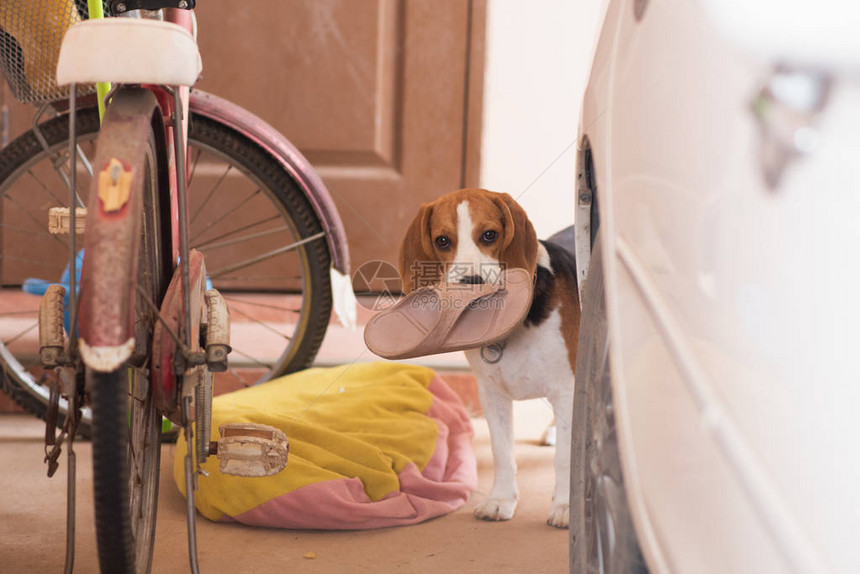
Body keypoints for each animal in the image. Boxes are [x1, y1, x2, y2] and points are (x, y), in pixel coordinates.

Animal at [400, 189, 580, 532]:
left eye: (489, 235)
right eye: (442, 240)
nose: (472, 280)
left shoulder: (566, 390)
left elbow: (565, 457)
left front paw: (565, 505)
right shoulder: (491, 395)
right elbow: (502, 452)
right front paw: (501, 500)